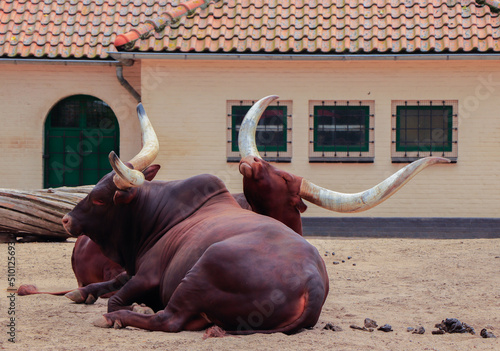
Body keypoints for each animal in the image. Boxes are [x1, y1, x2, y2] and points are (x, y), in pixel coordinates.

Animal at [60, 97, 448, 334]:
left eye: (99, 199)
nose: (66, 220)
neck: (162, 214)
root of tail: (312, 281)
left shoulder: (148, 274)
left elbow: (117, 294)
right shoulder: (130, 271)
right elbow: (103, 286)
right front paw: (81, 293)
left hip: (202, 267)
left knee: (167, 318)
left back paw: (120, 317)